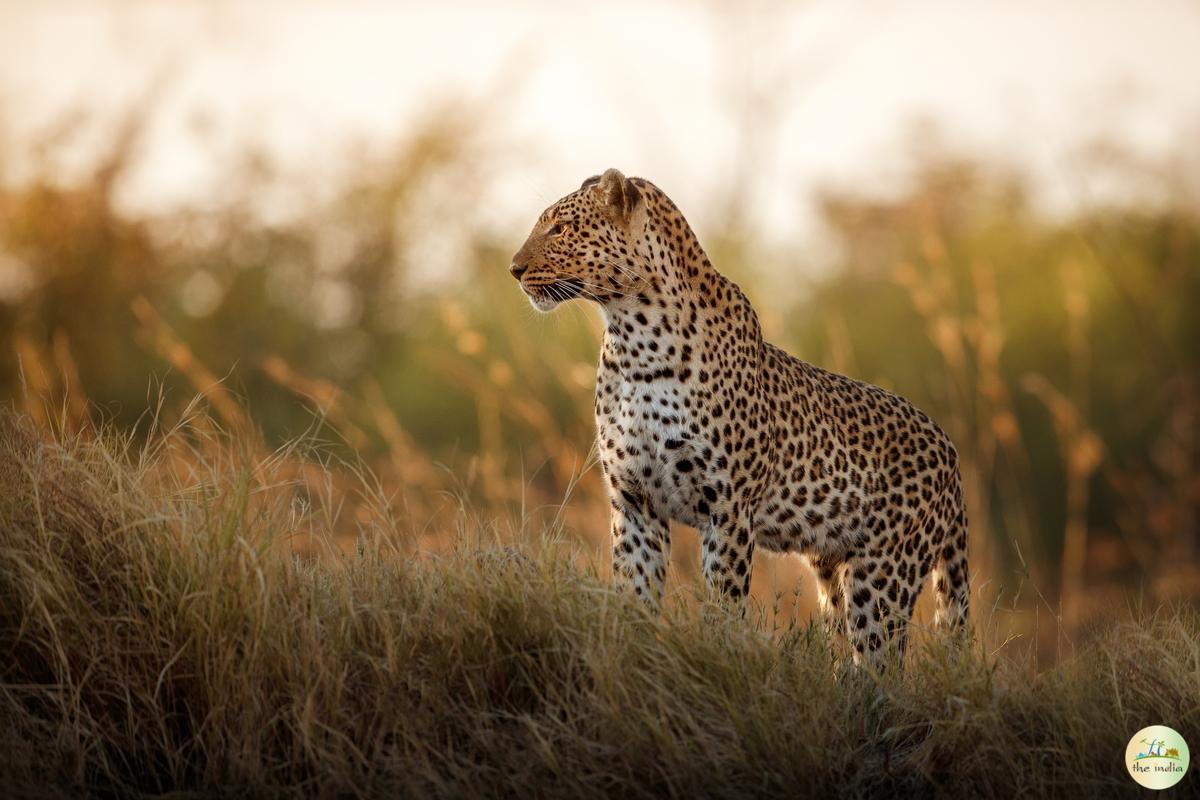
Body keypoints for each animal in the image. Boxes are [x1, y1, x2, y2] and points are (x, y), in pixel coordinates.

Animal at [506, 167, 964, 662]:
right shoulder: (634, 502)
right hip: (832, 571)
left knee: (881, 661)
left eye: (560, 228)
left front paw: (715, 656)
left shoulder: (726, 510)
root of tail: (949, 448)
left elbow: (723, 606)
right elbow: (634, 597)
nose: (514, 269)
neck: (635, 339)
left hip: (883, 576)